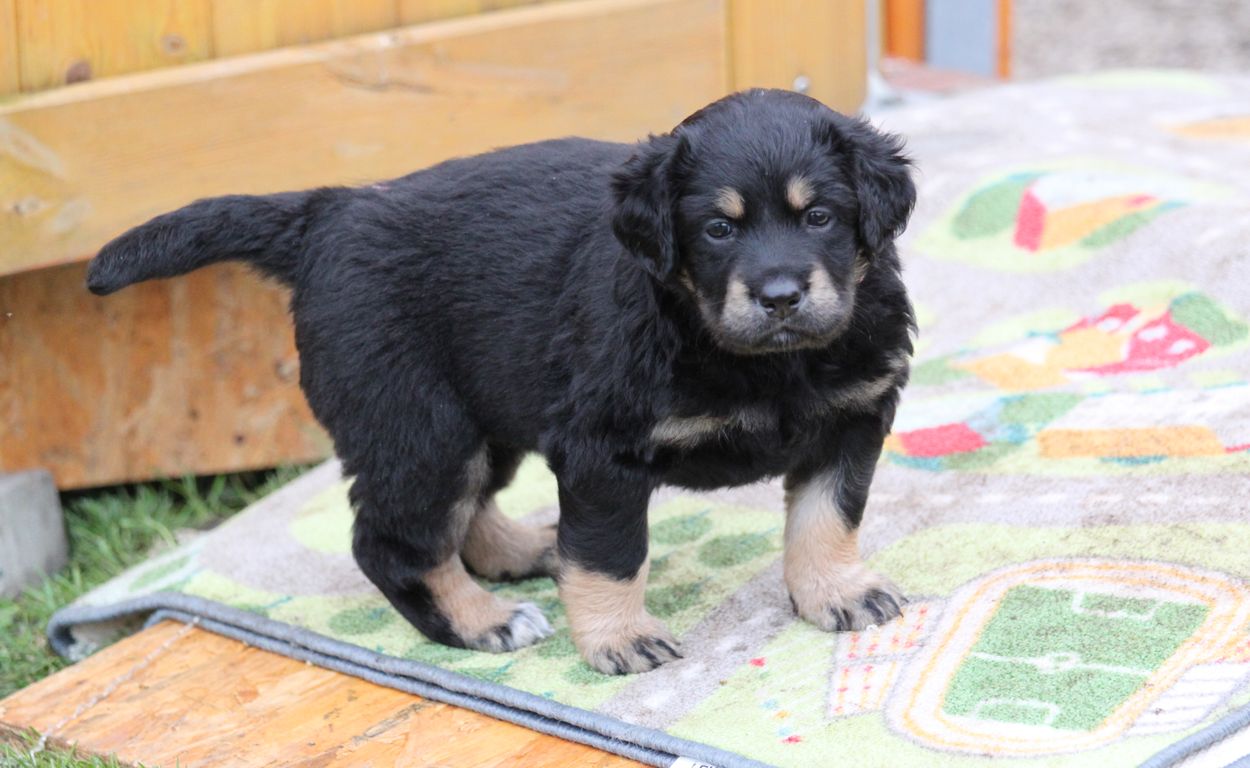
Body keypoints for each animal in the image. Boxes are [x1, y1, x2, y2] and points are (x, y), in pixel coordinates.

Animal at [87, 88, 917, 675]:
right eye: (718, 228)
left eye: (820, 217)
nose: (780, 296)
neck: (766, 359)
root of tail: (330, 214)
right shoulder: (602, 451)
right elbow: (612, 555)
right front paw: (619, 639)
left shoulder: (854, 418)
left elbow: (826, 518)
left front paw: (836, 593)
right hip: (416, 425)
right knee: (394, 543)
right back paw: (483, 620)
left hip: (481, 410)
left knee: (468, 513)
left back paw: (531, 552)